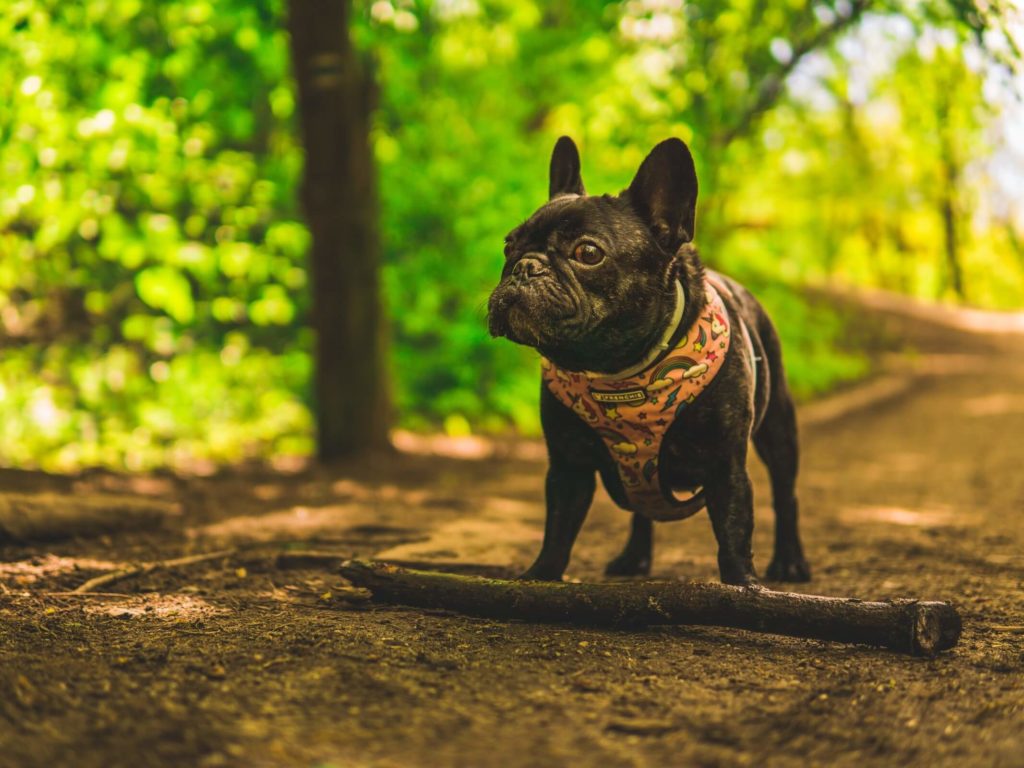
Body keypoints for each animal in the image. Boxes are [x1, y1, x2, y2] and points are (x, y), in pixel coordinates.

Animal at [485, 137, 806, 589]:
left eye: (587, 252)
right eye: (508, 246)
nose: (525, 266)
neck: (619, 370)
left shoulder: (725, 464)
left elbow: (734, 530)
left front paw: (743, 584)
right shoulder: (567, 465)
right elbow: (558, 529)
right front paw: (539, 578)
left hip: (779, 428)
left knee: (785, 493)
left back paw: (791, 562)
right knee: (643, 508)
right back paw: (634, 557)